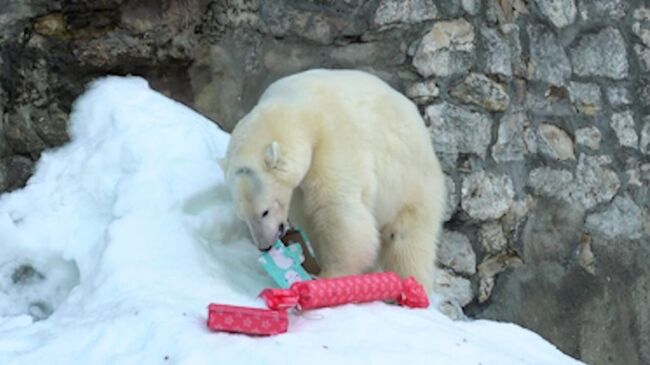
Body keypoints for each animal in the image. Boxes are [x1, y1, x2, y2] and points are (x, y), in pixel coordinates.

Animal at [220, 67, 442, 292]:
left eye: (264, 212)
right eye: (242, 217)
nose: (264, 245)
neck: (298, 109)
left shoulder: (333, 142)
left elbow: (337, 210)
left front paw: (329, 275)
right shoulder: (299, 186)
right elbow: (309, 217)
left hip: (411, 183)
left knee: (407, 238)